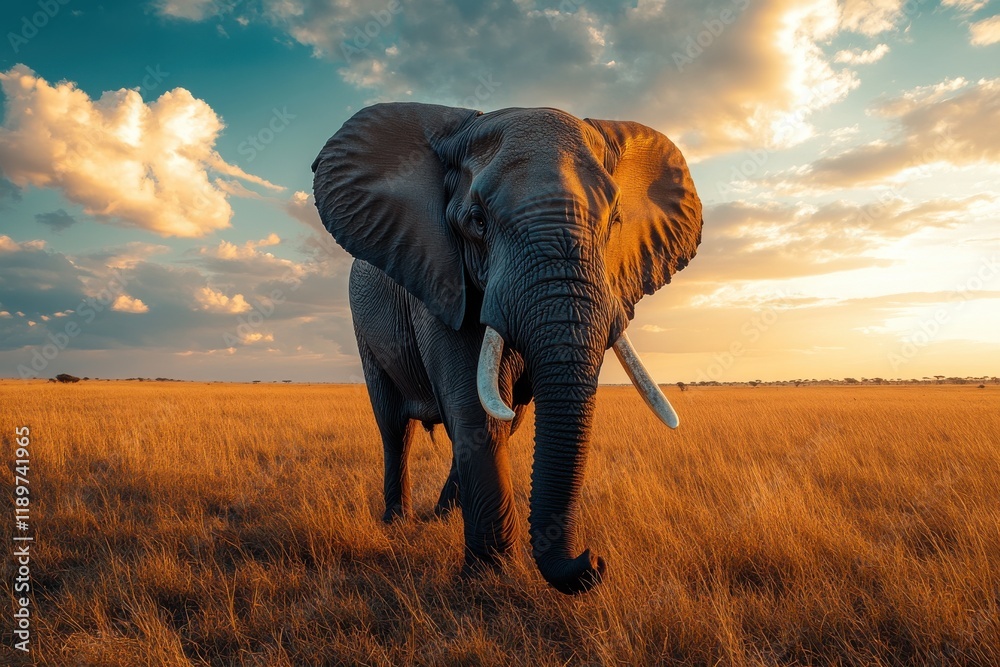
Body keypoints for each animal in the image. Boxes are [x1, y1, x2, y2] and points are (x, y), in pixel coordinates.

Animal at [311, 103, 703, 595]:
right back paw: (396, 523)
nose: (594, 560)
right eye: (477, 221)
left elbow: (499, 417)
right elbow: (476, 413)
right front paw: (490, 577)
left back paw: (442, 517)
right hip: (363, 326)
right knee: (393, 425)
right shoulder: (441, 279)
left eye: (615, 222)